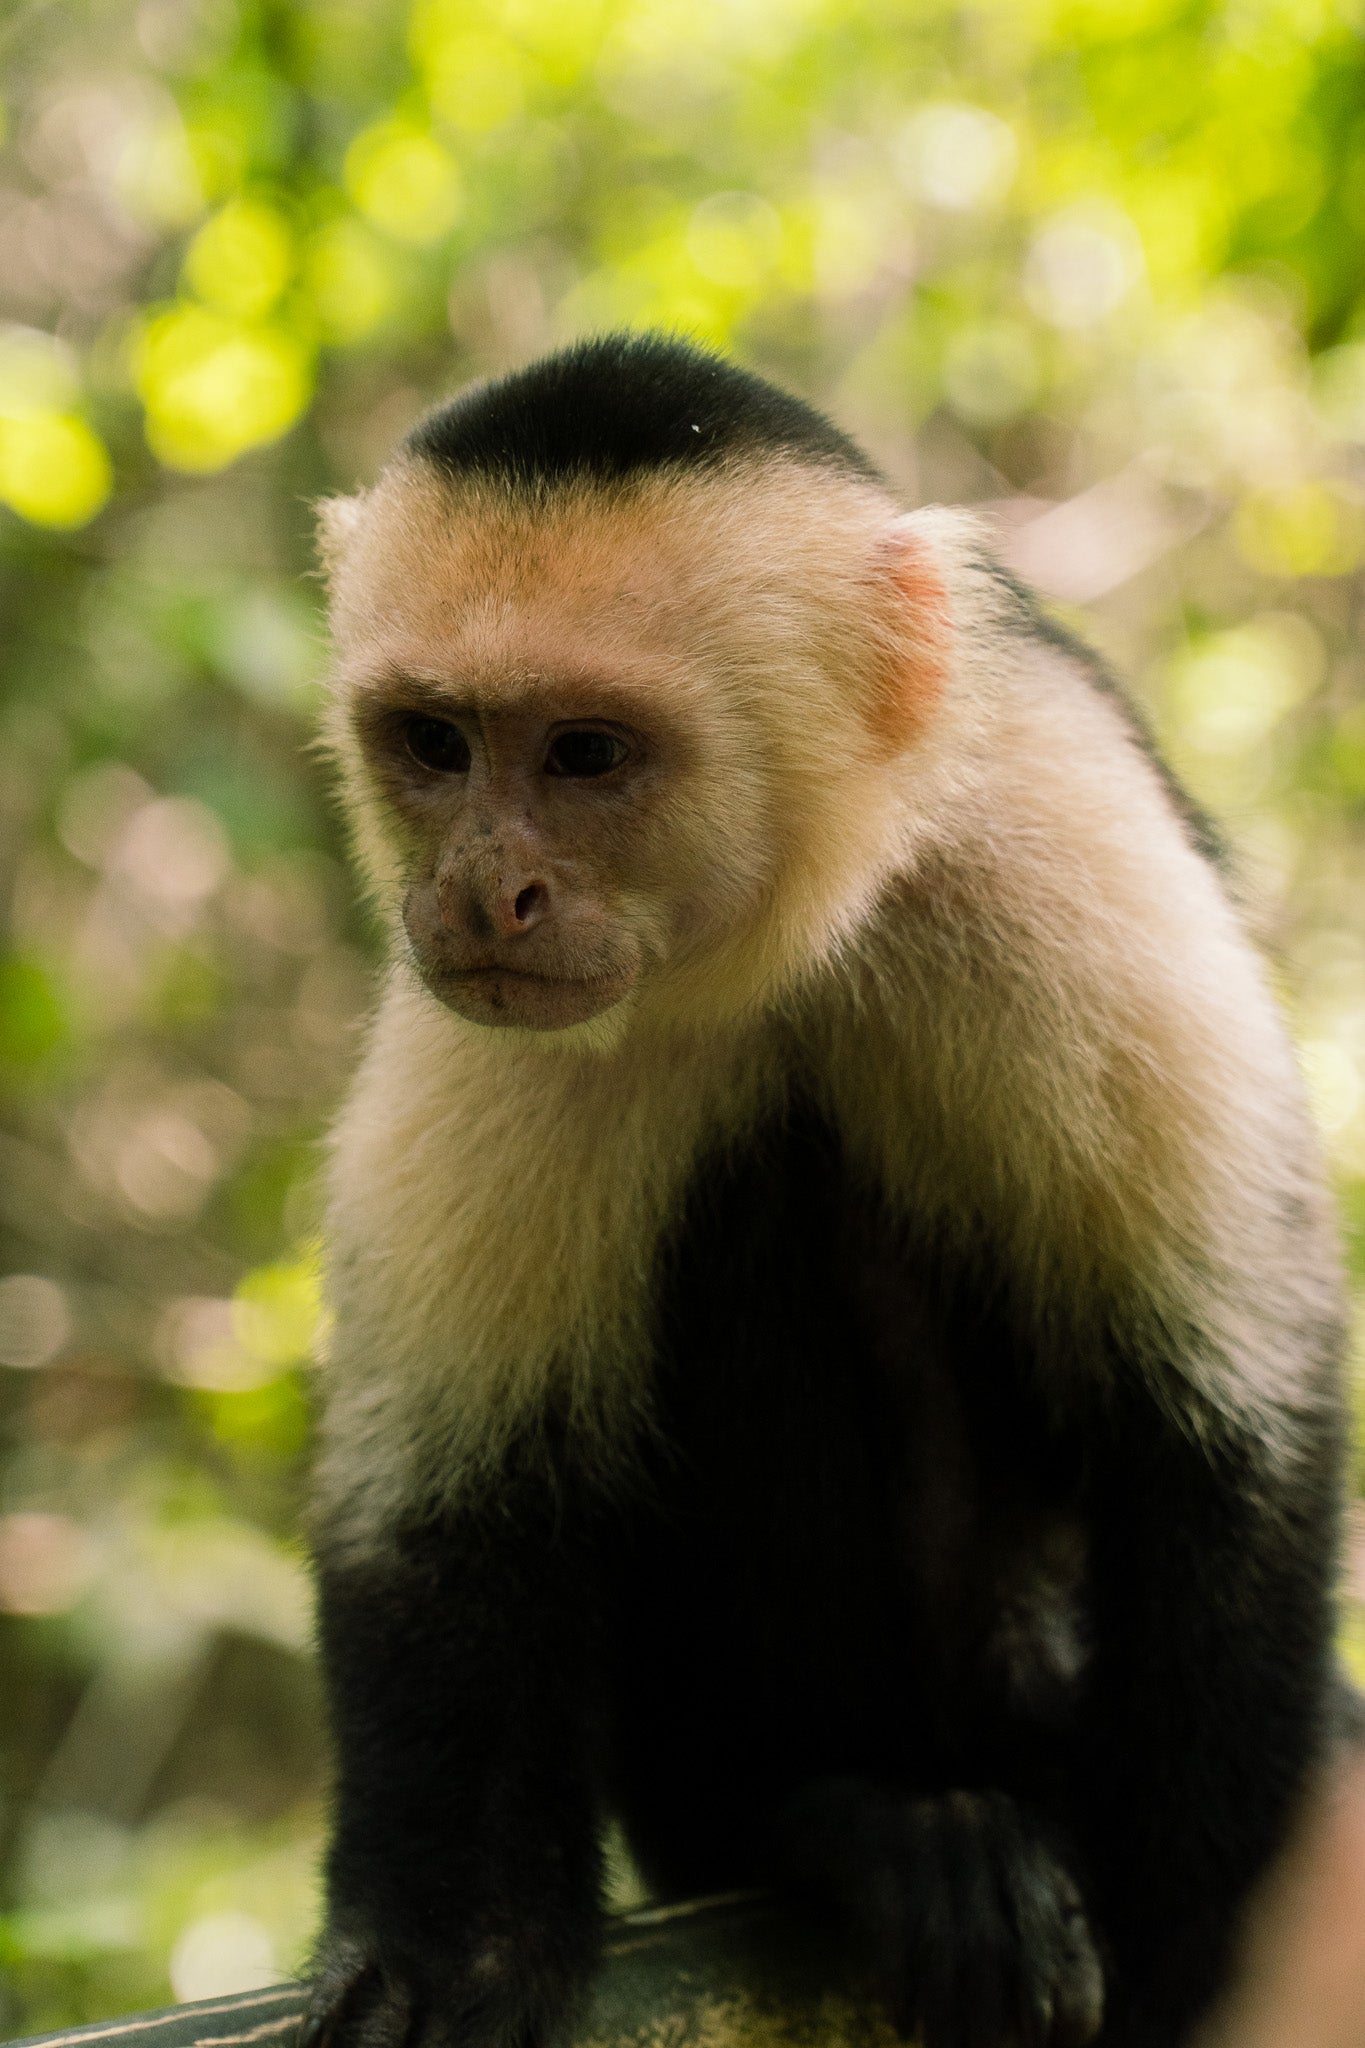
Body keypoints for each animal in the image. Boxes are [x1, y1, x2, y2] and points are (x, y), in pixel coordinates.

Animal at [300, 331, 1358, 2048]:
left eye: (587, 753)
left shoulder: (1057, 832)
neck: (802, 924)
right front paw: (448, 1946)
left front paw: (1195, 1945)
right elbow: (450, 1492)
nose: (479, 891)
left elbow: (1221, 1425)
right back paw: (848, 1824)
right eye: (435, 745)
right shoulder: (499, 1013)